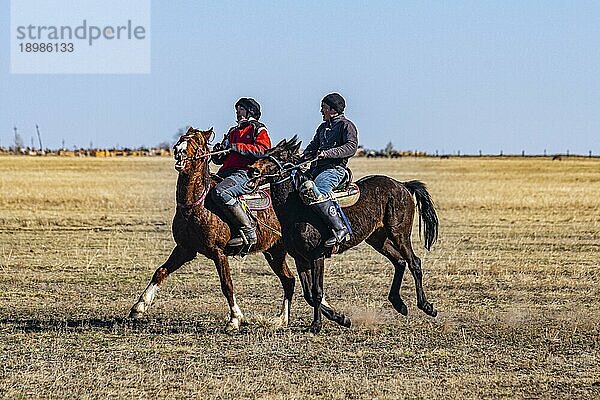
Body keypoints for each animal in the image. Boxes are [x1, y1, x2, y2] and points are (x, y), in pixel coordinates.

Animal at [129, 128, 296, 332]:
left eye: (198, 143)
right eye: (181, 138)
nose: (178, 150)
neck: (196, 206)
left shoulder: (218, 252)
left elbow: (227, 285)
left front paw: (235, 319)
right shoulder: (185, 249)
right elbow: (160, 272)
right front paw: (139, 307)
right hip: (274, 252)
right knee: (288, 280)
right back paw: (282, 319)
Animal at [248, 138, 440, 334]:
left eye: (279, 155)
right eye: (268, 151)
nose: (252, 170)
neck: (297, 209)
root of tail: (402, 185)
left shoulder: (317, 256)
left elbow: (317, 291)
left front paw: (317, 325)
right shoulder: (300, 259)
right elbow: (309, 294)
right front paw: (341, 318)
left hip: (399, 234)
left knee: (414, 262)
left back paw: (426, 306)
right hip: (378, 239)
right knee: (400, 262)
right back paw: (398, 303)